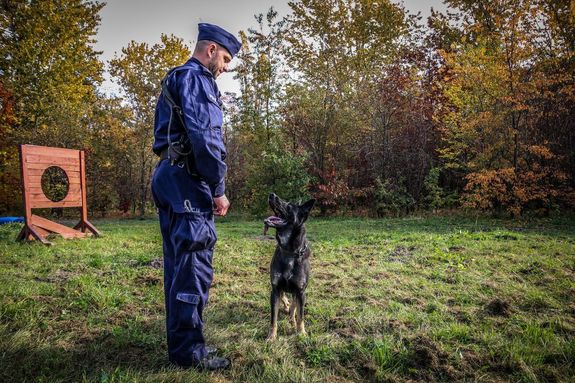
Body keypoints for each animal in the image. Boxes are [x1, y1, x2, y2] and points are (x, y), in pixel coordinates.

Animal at [264, 194, 316, 340]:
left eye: (288, 206)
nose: (271, 194)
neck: (289, 251)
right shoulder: (275, 289)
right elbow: (273, 318)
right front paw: (271, 337)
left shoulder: (300, 291)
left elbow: (300, 316)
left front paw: (301, 333)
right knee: (285, 299)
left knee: (294, 308)